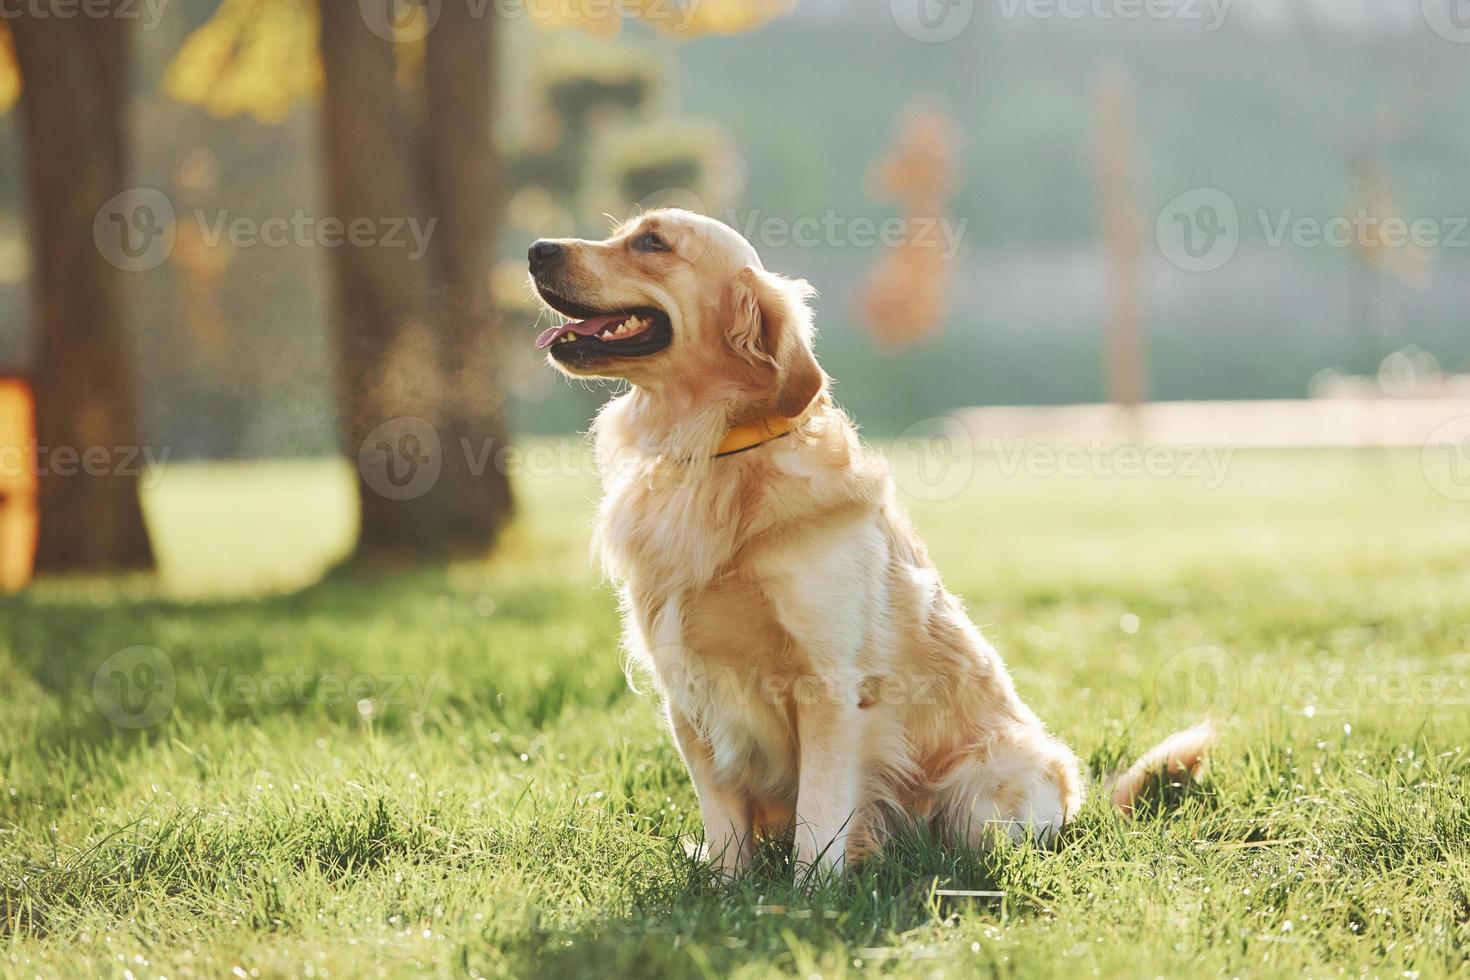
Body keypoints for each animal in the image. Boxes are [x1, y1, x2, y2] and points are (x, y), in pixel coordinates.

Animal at [523, 211, 1211, 875]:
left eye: (653, 243)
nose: (535, 249)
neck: (716, 450)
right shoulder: (687, 689)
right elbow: (724, 825)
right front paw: (725, 887)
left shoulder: (830, 687)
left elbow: (820, 819)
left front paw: (809, 894)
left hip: (987, 794)